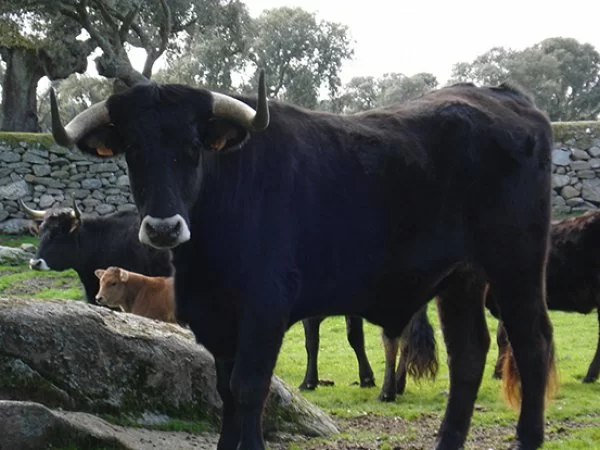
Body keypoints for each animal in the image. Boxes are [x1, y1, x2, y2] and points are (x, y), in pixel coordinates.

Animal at [49, 71, 556, 450]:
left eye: (193, 148)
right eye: (134, 151)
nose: (163, 228)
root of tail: (505, 96)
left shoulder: (264, 312)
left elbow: (249, 389)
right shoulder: (215, 321)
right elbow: (225, 392)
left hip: (517, 266)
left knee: (531, 346)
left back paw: (527, 439)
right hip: (461, 279)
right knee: (467, 354)